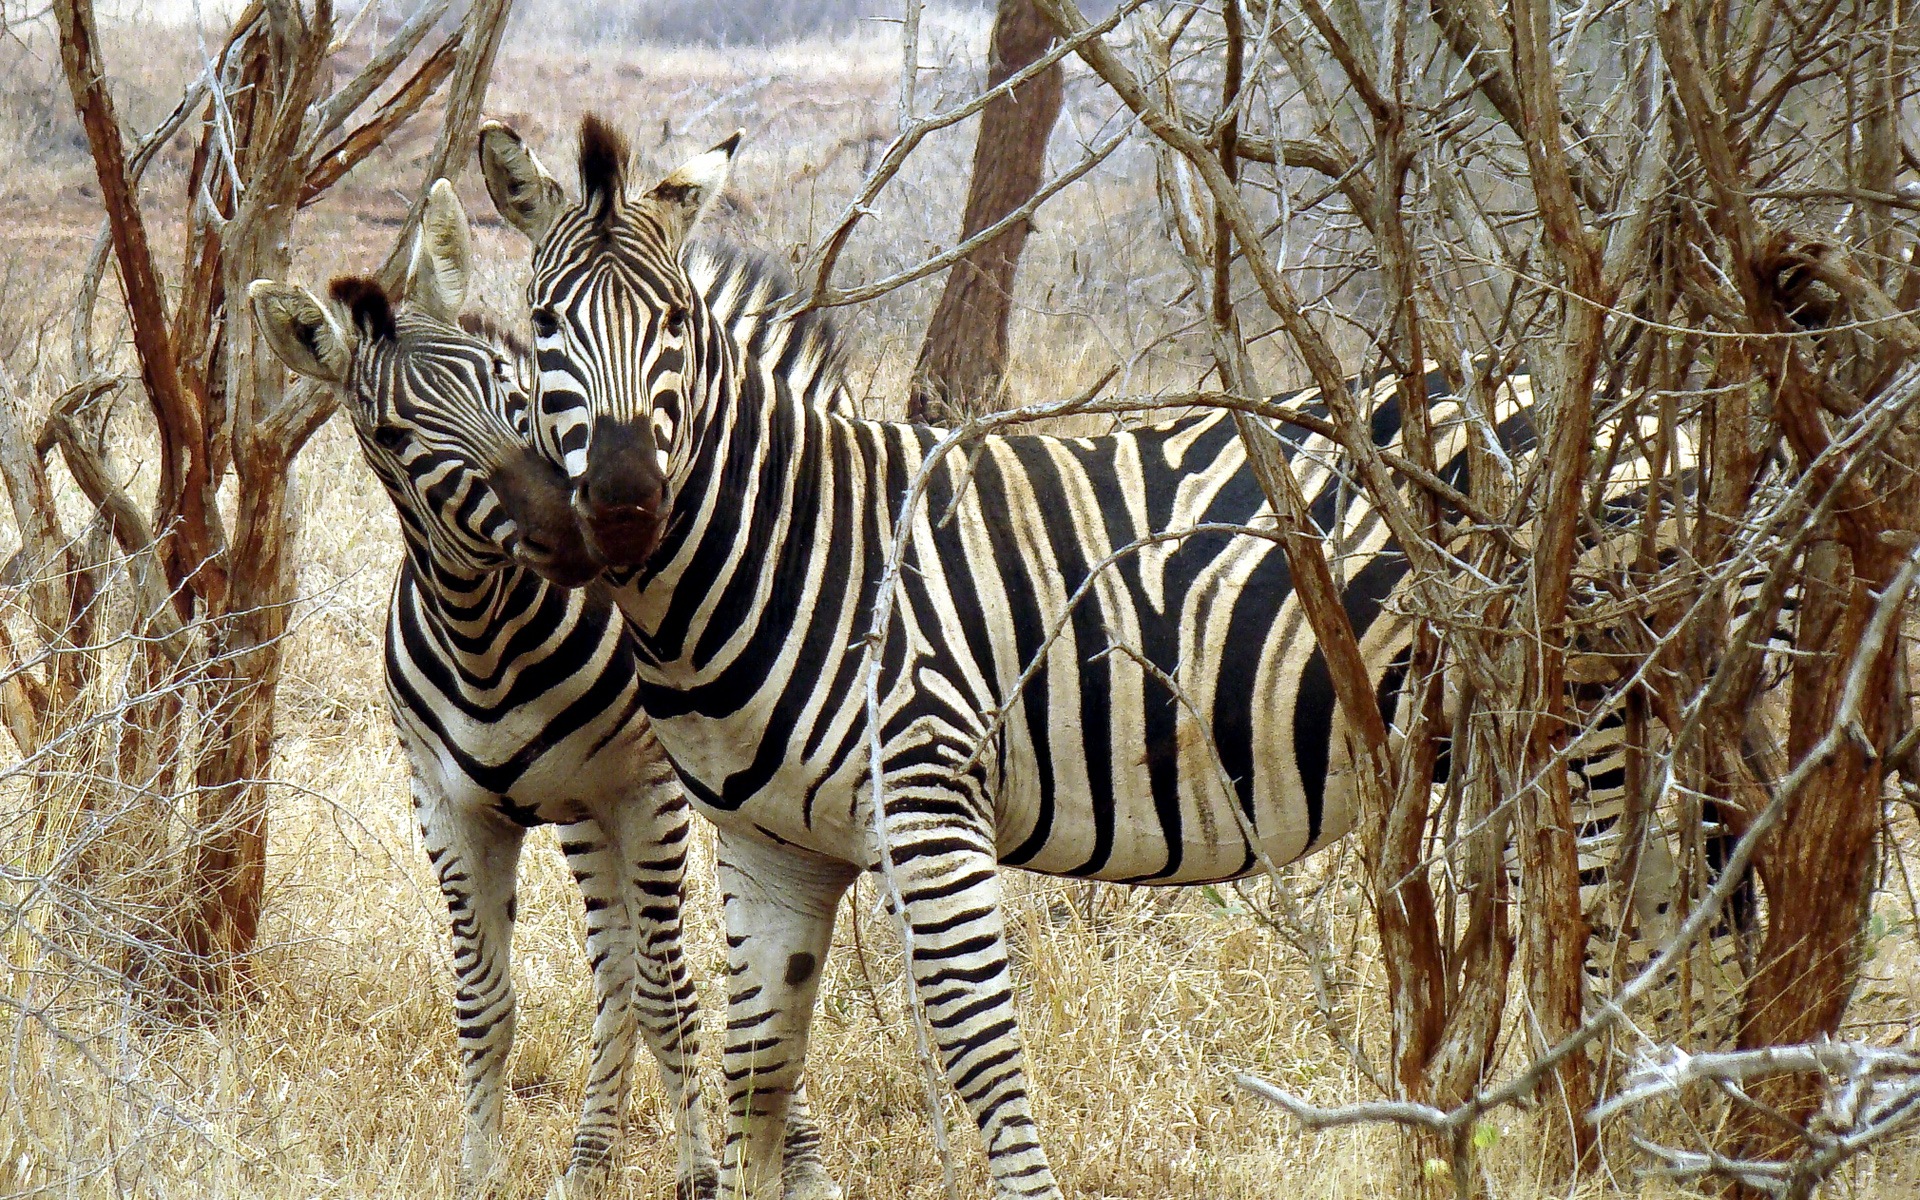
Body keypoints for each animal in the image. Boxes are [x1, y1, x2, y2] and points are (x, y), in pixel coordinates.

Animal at [243, 177, 844, 1198]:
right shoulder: (451, 811)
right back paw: (590, 1157)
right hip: (578, 812)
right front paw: (479, 1174)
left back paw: (791, 1158)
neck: (486, 635)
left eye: (506, 384)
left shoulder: (647, 790)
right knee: (616, 968)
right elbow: (486, 1007)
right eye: (391, 437)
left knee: (716, 971)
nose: (572, 533)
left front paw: (703, 1171)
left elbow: (675, 994)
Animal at [472, 119, 1758, 1198]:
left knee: (1625, 934)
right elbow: (756, 1076)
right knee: (1675, 930)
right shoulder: (770, 843)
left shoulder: (930, 796)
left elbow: (982, 1050)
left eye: (675, 329)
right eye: (543, 331)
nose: (626, 505)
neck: (793, 546)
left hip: (1588, 709)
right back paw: (1672, 1150)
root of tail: (1637, 399)